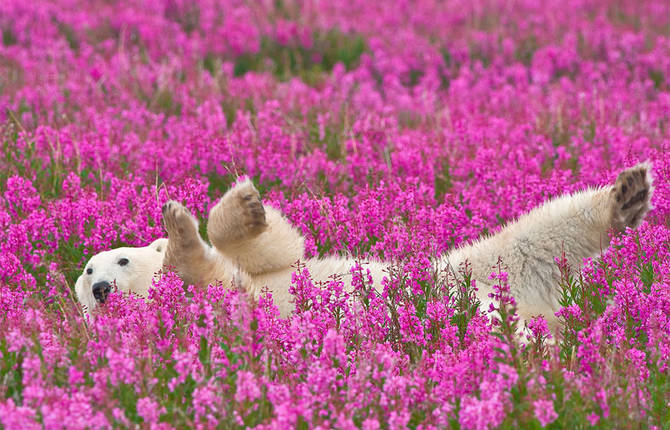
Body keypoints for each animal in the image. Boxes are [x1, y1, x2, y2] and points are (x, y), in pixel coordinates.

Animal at [75, 163, 656, 334]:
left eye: (118, 258)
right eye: (86, 272)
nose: (101, 288)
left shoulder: (266, 271)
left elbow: (279, 249)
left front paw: (233, 207)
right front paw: (181, 234)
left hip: (470, 269)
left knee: (537, 235)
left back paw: (627, 193)